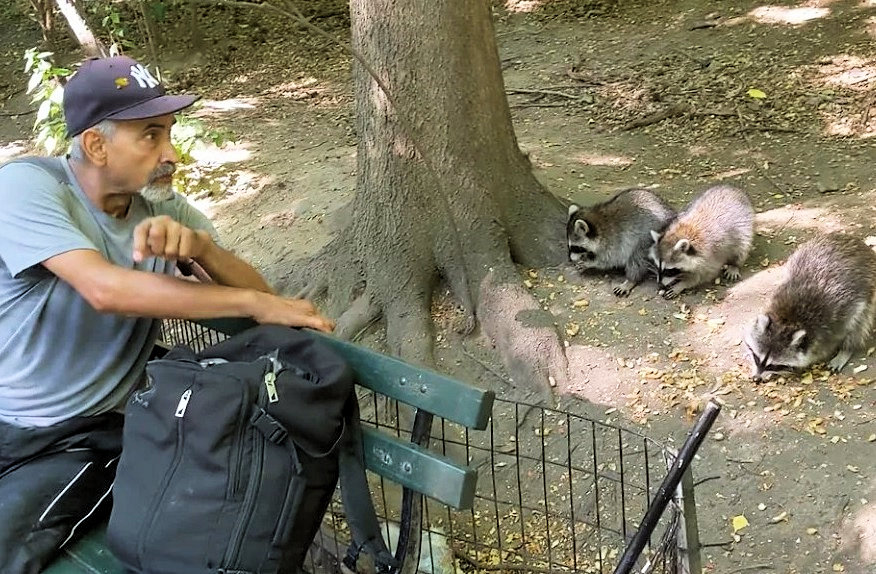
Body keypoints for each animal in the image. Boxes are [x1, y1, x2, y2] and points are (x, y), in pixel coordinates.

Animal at [744, 234, 876, 382]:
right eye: (756, 357)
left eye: (773, 365)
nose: (756, 378)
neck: (787, 319)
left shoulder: (838, 317)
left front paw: (846, 349)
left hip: (869, 289)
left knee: (861, 322)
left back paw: (847, 349)